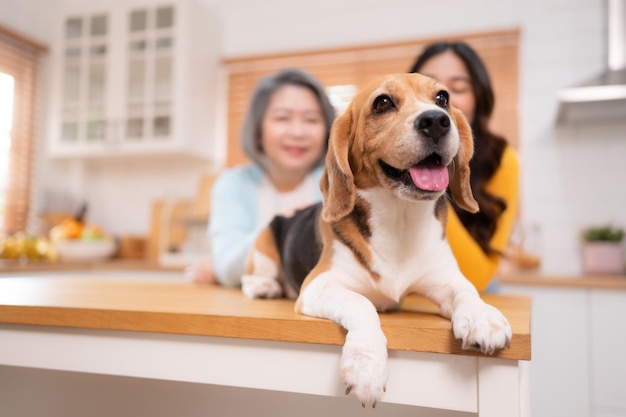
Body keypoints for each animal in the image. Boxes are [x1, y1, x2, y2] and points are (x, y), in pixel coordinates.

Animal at [241, 72, 510, 406]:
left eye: (443, 98)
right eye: (382, 103)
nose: (437, 121)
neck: (399, 219)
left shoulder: (445, 278)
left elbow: (468, 292)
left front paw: (482, 317)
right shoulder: (318, 285)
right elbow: (362, 303)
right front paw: (366, 366)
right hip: (265, 244)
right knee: (253, 275)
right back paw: (264, 286)